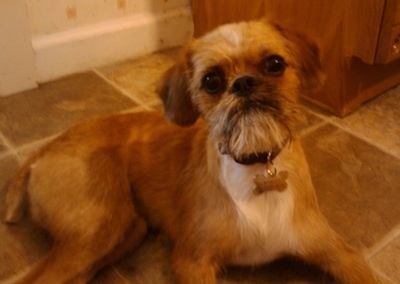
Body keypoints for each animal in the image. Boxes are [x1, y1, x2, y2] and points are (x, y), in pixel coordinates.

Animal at [3, 18, 376, 282]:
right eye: (211, 81)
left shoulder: (340, 253)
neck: (254, 165)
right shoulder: (192, 261)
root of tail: (43, 150)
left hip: (128, 230)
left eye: (274, 64)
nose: (243, 83)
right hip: (98, 228)